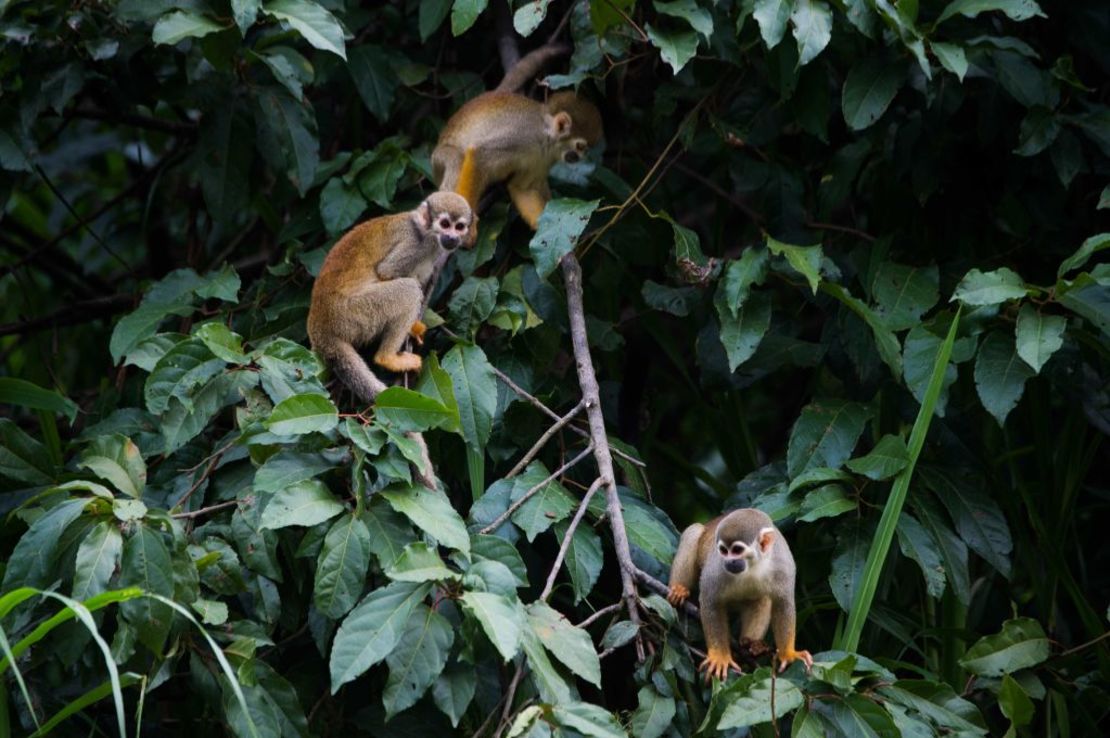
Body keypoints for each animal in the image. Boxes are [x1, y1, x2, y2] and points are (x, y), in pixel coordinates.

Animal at [430, 89, 603, 233]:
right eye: (580, 146)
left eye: (585, 149)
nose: (581, 157)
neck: (545, 138)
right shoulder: (521, 136)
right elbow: (479, 156)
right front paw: (469, 227)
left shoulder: (544, 159)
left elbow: (522, 188)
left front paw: (548, 230)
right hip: (439, 158)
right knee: (457, 159)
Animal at [666, 506, 816, 679]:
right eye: (724, 551)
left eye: (737, 550)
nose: (729, 561)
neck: (753, 565)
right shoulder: (717, 566)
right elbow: (710, 600)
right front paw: (719, 657)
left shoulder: (783, 564)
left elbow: (783, 603)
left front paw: (789, 654)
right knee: (693, 531)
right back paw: (678, 588)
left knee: (763, 600)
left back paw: (750, 645)